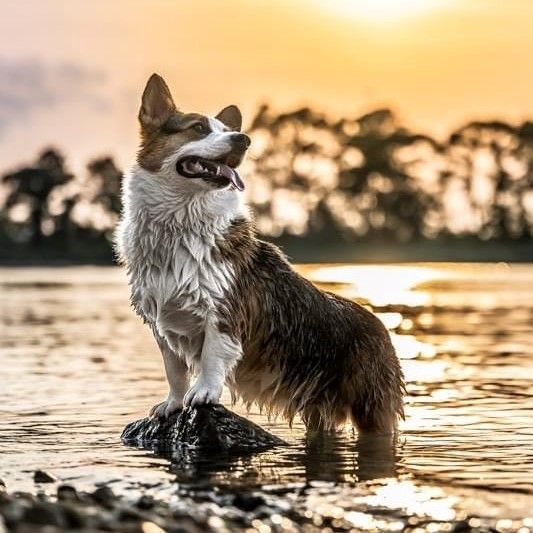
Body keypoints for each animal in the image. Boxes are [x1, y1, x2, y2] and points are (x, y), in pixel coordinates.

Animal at [116, 74, 404, 432]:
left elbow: (212, 356)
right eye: (198, 128)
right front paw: (173, 404)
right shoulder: (162, 323)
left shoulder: (222, 312)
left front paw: (203, 394)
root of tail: (382, 328)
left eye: (227, 130)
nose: (244, 139)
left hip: (373, 410)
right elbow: (175, 372)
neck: (179, 223)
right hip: (318, 410)